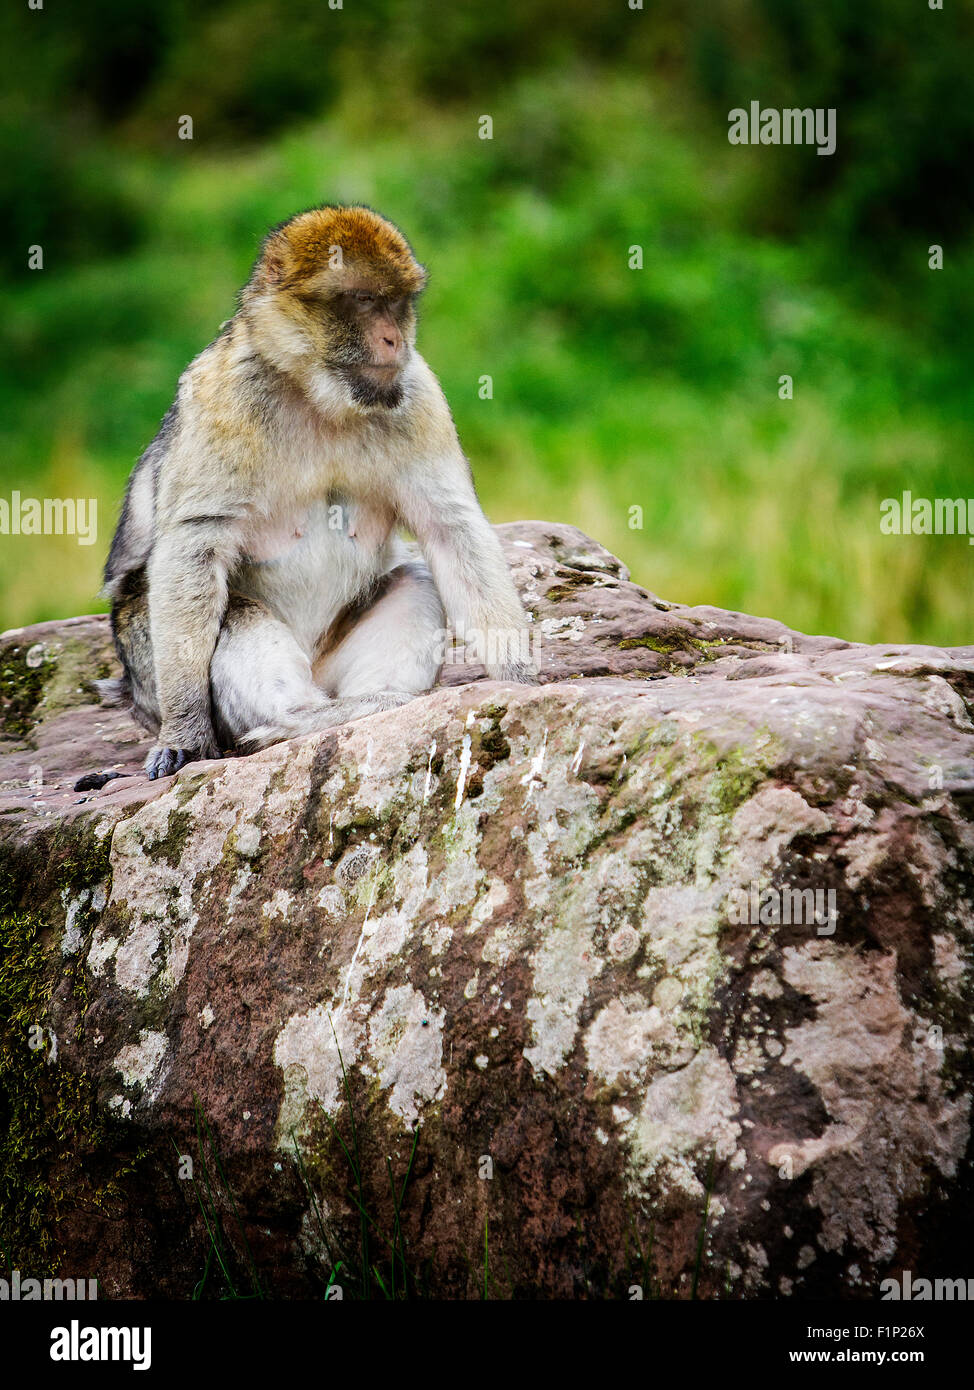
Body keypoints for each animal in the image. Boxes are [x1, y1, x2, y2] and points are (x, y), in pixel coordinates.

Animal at [102, 205, 537, 780]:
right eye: (362, 299)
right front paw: (185, 733)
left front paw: (522, 683)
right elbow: (194, 543)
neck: (318, 395)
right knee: (226, 611)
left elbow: (451, 528)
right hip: (146, 665)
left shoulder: (417, 391)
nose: (394, 340)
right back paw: (291, 722)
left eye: (397, 302)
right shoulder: (223, 394)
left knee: (417, 581)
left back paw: (372, 704)